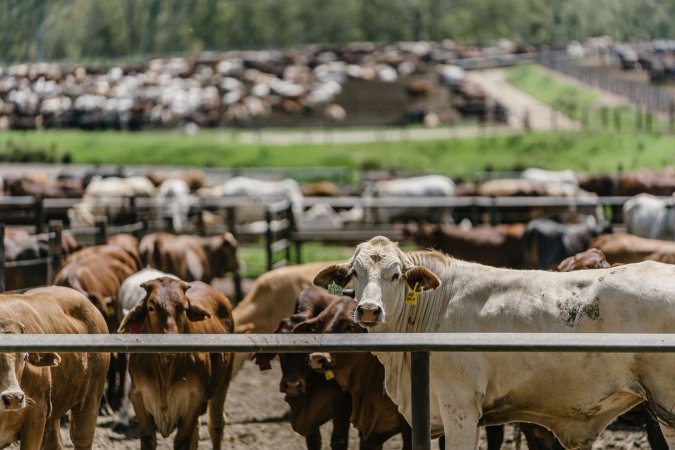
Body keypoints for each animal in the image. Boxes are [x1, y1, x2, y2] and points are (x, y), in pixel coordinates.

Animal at [116, 278, 232, 450]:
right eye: (151, 307)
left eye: (184, 308)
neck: (165, 369)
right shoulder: (138, 397)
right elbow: (148, 438)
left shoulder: (195, 398)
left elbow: (182, 440)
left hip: (223, 383)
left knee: (216, 424)